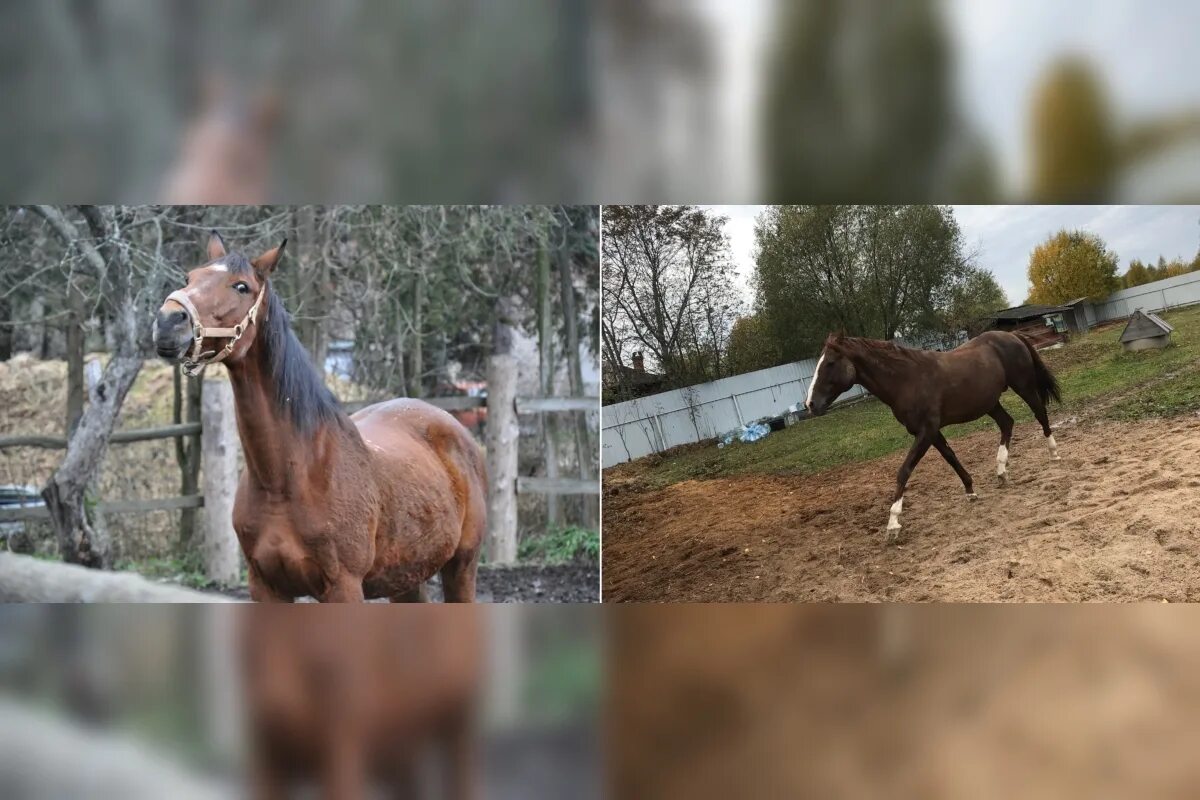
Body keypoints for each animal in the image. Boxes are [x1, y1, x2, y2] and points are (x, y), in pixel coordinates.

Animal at [154, 235, 487, 604]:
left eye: (241, 286)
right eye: (190, 276)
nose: (168, 321)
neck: (287, 478)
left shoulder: (344, 586)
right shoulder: (265, 587)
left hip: (461, 567)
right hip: (407, 577)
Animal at [801, 331, 1065, 544]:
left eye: (830, 363)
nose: (810, 404)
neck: (906, 379)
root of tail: (1012, 335)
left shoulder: (926, 431)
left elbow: (904, 471)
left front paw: (893, 524)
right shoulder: (931, 431)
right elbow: (950, 457)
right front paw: (970, 490)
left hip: (1024, 386)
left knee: (1040, 414)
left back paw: (1054, 454)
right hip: (990, 403)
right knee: (1007, 423)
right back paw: (1001, 471)